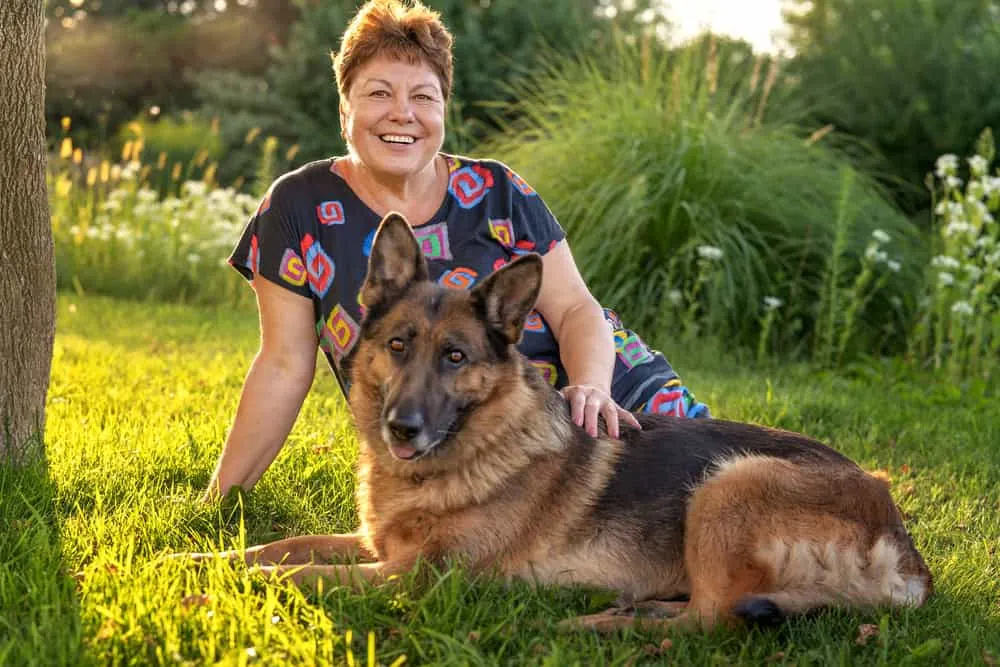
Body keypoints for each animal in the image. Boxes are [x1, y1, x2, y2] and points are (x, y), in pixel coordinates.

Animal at [184, 213, 932, 632]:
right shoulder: (375, 546)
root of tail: (906, 552)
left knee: (713, 622)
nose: (403, 429)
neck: (475, 452)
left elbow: (297, 574)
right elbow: (278, 546)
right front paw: (195, 554)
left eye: (455, 356)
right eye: (398, 345)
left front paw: (210, 583)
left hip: (729, 482)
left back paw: (596, 624)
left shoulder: (410, 577)